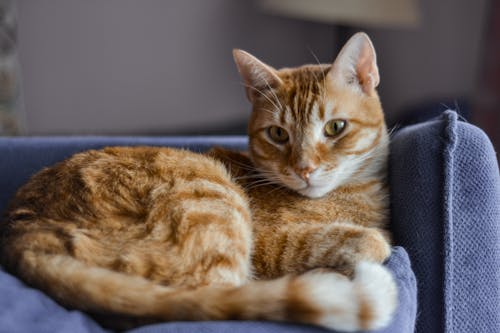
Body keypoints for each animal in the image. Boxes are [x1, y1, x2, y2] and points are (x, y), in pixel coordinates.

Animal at [0, 32, 398, 330]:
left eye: (335, 127)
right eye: (278, 134)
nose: (304, 169)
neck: (355, 196)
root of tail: (22, 235)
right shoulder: (274, 241)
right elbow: (373, 242)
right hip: (211, 200)